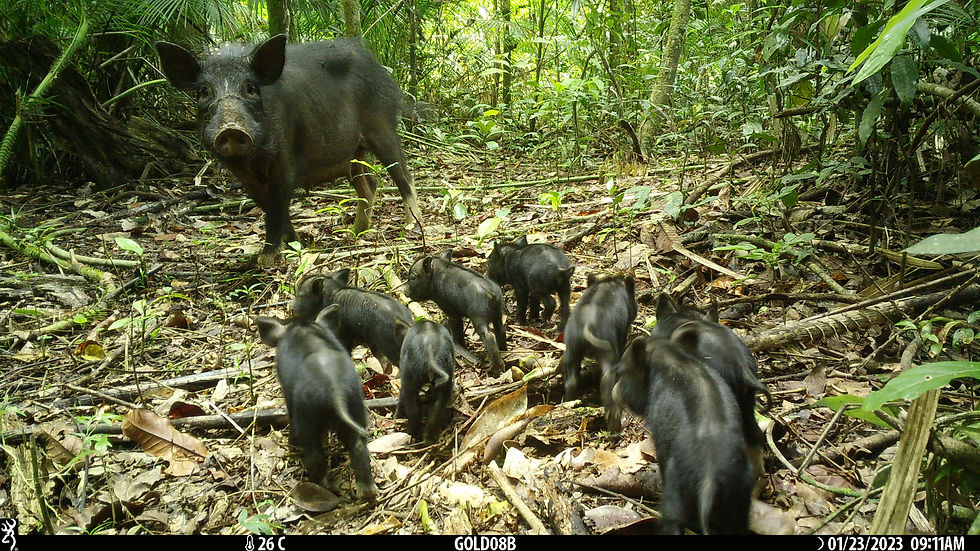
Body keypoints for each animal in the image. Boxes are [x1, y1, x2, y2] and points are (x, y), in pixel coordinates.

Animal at [155, 35, 424, 265]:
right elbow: (269, 207)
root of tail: (378, 66)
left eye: (250, 88)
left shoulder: (285, 161)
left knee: (404, 175)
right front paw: (296, 245)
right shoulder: (244, 177)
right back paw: (353, 233)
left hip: (382, 125)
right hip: (353, 152)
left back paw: (411, 225)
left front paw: (266, 260)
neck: (253, 160)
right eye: (203, 91)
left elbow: (276, 207)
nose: (231, 129)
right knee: (369, 184)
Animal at [255, 305, 378, 501]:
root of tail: (333, 388)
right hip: (356, 405)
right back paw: (367, 493)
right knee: (359, 447)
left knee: (313, 454)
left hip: (306, 418)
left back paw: (322, 487)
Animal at [561, 273, 636, 432]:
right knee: (607, 382)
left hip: (571, 348)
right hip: (607, 351)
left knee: (572, 379)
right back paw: (615, 426)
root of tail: (587, 325)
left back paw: (570, 403)